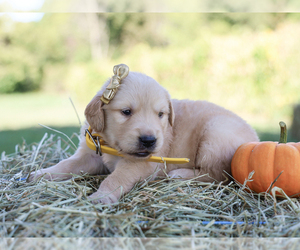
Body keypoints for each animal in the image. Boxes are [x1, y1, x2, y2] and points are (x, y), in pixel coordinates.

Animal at [28, 68, 258, 203]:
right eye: (126, 112)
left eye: (161, 114)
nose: (149, 140)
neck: (113, 145)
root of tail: (256, 138)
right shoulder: (89, 154)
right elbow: (66, 164)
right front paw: (42, 174)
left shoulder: (140, 164)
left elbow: (116, 178)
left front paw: (102, 196)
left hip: (215, 134)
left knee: (218, 176)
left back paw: (180, 174)